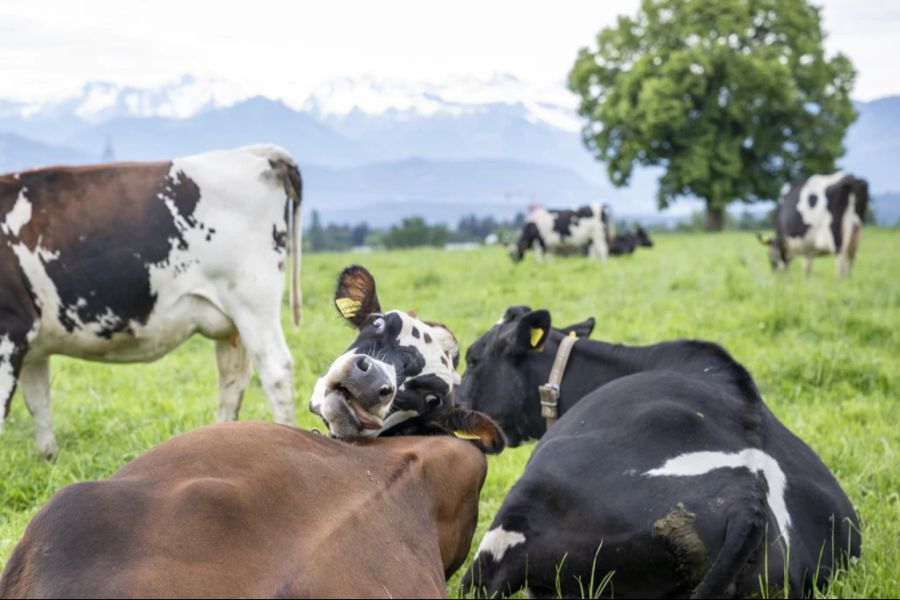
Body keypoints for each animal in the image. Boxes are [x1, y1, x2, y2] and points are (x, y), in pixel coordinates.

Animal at [0, 143, 304, 458]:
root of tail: (257, 152)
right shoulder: (34, 343)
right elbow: (38, 401)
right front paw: (48, 458)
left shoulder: (12, 327)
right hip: (232, 321)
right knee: (233, 379)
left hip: (253, 303)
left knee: (276, 371)